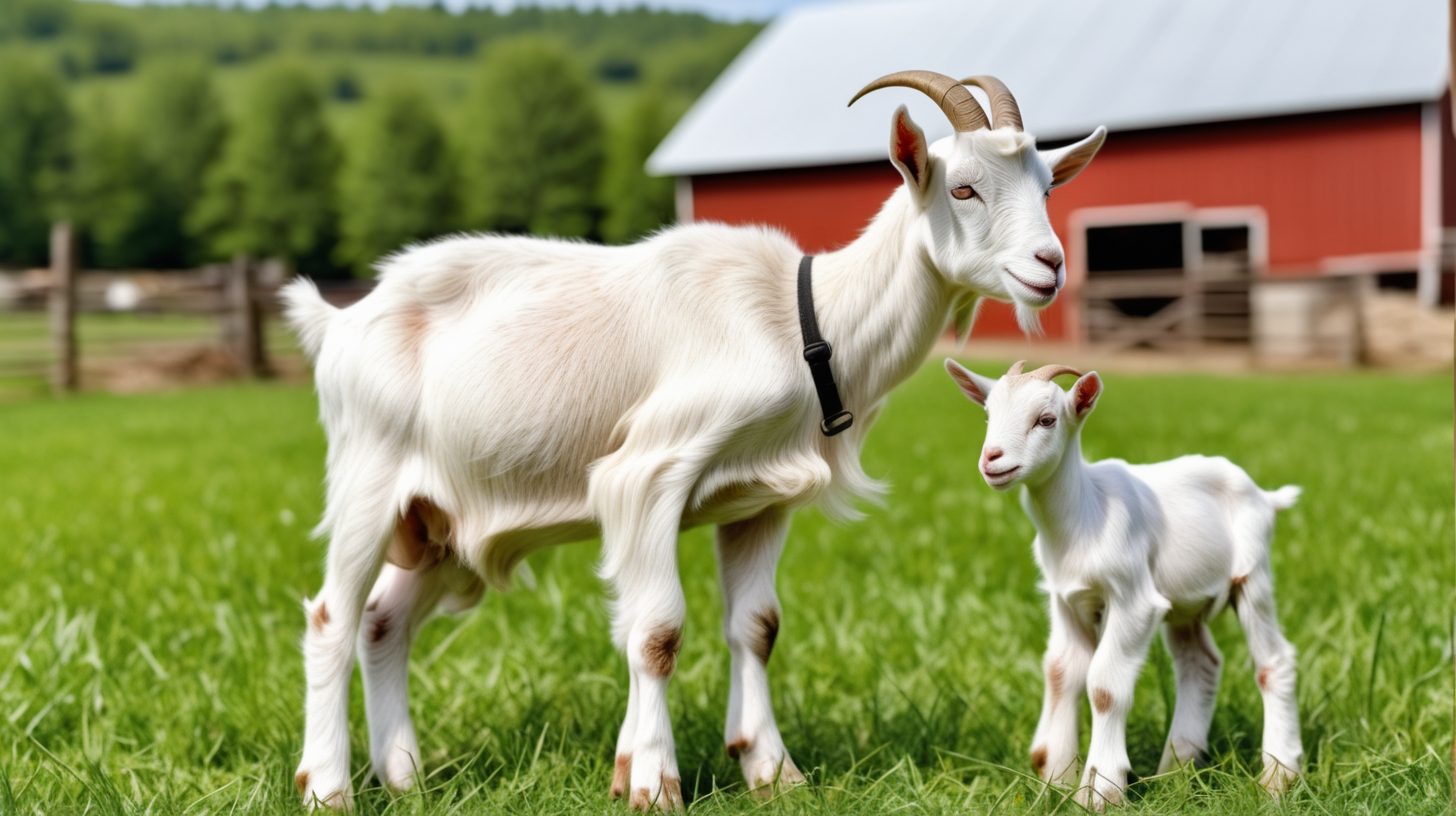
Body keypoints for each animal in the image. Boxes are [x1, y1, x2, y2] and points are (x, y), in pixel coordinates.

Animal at [281, 71, 1100, 810]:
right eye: (962, 189)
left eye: (1046, 189)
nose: (1050, 266)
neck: (801, 320)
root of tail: (339, 322)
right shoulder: (647, 475)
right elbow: (657, 632)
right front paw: (652, 784)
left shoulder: (761, 499)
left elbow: (757, 627)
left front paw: (771, 772)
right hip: (368, 479)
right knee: (332, 618)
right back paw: (328, 788)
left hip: (439, 525)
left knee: (383, 623)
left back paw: (406, 779)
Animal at [943, 361, 1310, 810]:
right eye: (987, 416)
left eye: (1046, 420)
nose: (991, 459)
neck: (1085, 512)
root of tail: (1265, 496)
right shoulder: (1065, 598)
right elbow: (1061, 671)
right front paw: (1056, 781)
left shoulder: (1134, 598)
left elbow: (1103, 684)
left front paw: (1100, 790)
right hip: (1184, 604)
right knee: (1200, 662)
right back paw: (1176, 773)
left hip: (1252, 574)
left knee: (1274, 661)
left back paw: (1278, 778)